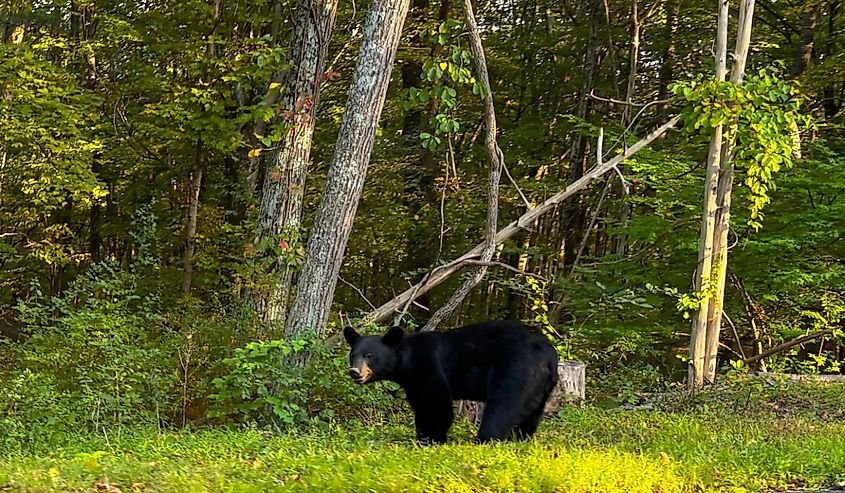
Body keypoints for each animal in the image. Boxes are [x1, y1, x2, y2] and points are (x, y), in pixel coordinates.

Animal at [343, 319, 559, 444]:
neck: (407, 361)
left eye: (369, 355)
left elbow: (436, 404)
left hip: (515, 369)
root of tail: (549, 354)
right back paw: (520, 439)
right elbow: (421, 405)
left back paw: (485, 440)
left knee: (502, 407)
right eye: (353, 355)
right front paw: (423, 436)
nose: (354, 371)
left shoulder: (428, 366)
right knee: (531, 414)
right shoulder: (413, 382)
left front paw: (432, 439)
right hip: (541, 387)